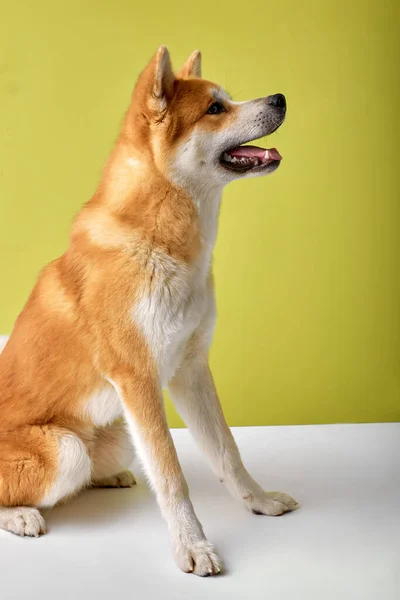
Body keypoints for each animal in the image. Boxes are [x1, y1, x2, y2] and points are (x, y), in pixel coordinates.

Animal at [0, 48, 296, 576]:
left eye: (227, 99)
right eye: (215, 108)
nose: (280, 98)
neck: (161, 242)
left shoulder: (190, 370)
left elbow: (227, 451)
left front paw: (258, 502)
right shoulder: (137, 379)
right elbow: (170, 473)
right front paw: (192, 546)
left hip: (116, 432)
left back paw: (106, 477)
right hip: (66, 449)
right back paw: (21, 515)